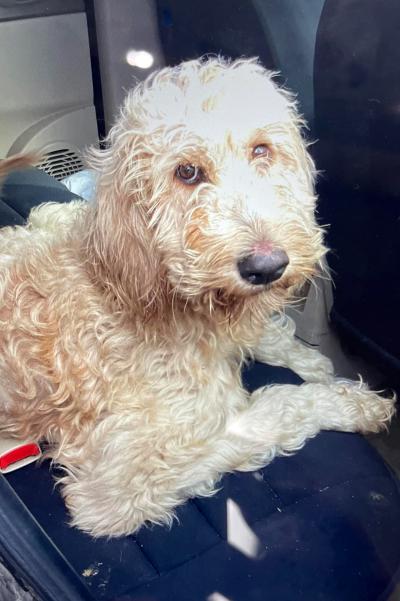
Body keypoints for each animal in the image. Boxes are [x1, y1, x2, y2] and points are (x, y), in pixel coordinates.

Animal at [0, 57, 394, 536]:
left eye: (262, 150)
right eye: (185, 172)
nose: (267, 267)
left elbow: (268, 336)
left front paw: (317, 365)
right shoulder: (113, 487)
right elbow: (271, 410)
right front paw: (351, 403)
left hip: (47, 217)